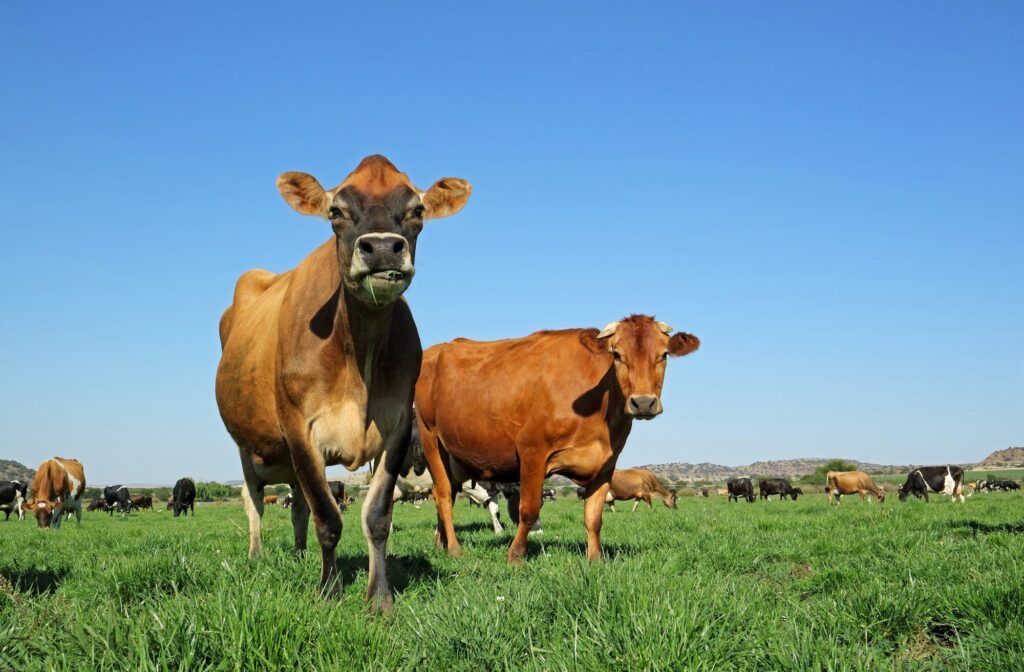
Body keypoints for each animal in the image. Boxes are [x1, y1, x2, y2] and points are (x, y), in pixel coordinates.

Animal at [218, 155, 473, 610]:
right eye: (335, 211)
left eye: (417, 210)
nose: (383, 248)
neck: (359, 352)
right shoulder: (299, 429)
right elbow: (328, 518)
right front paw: (329, 590)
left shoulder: (396, 428)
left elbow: (376, 517)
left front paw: (379, 598)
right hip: (248, 446)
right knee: (255, 502)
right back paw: (256, 555)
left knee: (297, 506)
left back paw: (300, 555)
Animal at [413, 315, 696, 561]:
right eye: (616, 355)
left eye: (664, 355)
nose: (644, 402)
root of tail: (434, 351)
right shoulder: (532, 452)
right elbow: (528, 510)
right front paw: (515, 556)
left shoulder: (606, 464)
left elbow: (594, 517)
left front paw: (595, 560)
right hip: (431, 439)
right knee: (443, 494)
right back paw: (454, 549)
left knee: (447, 494)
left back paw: (441, 544)